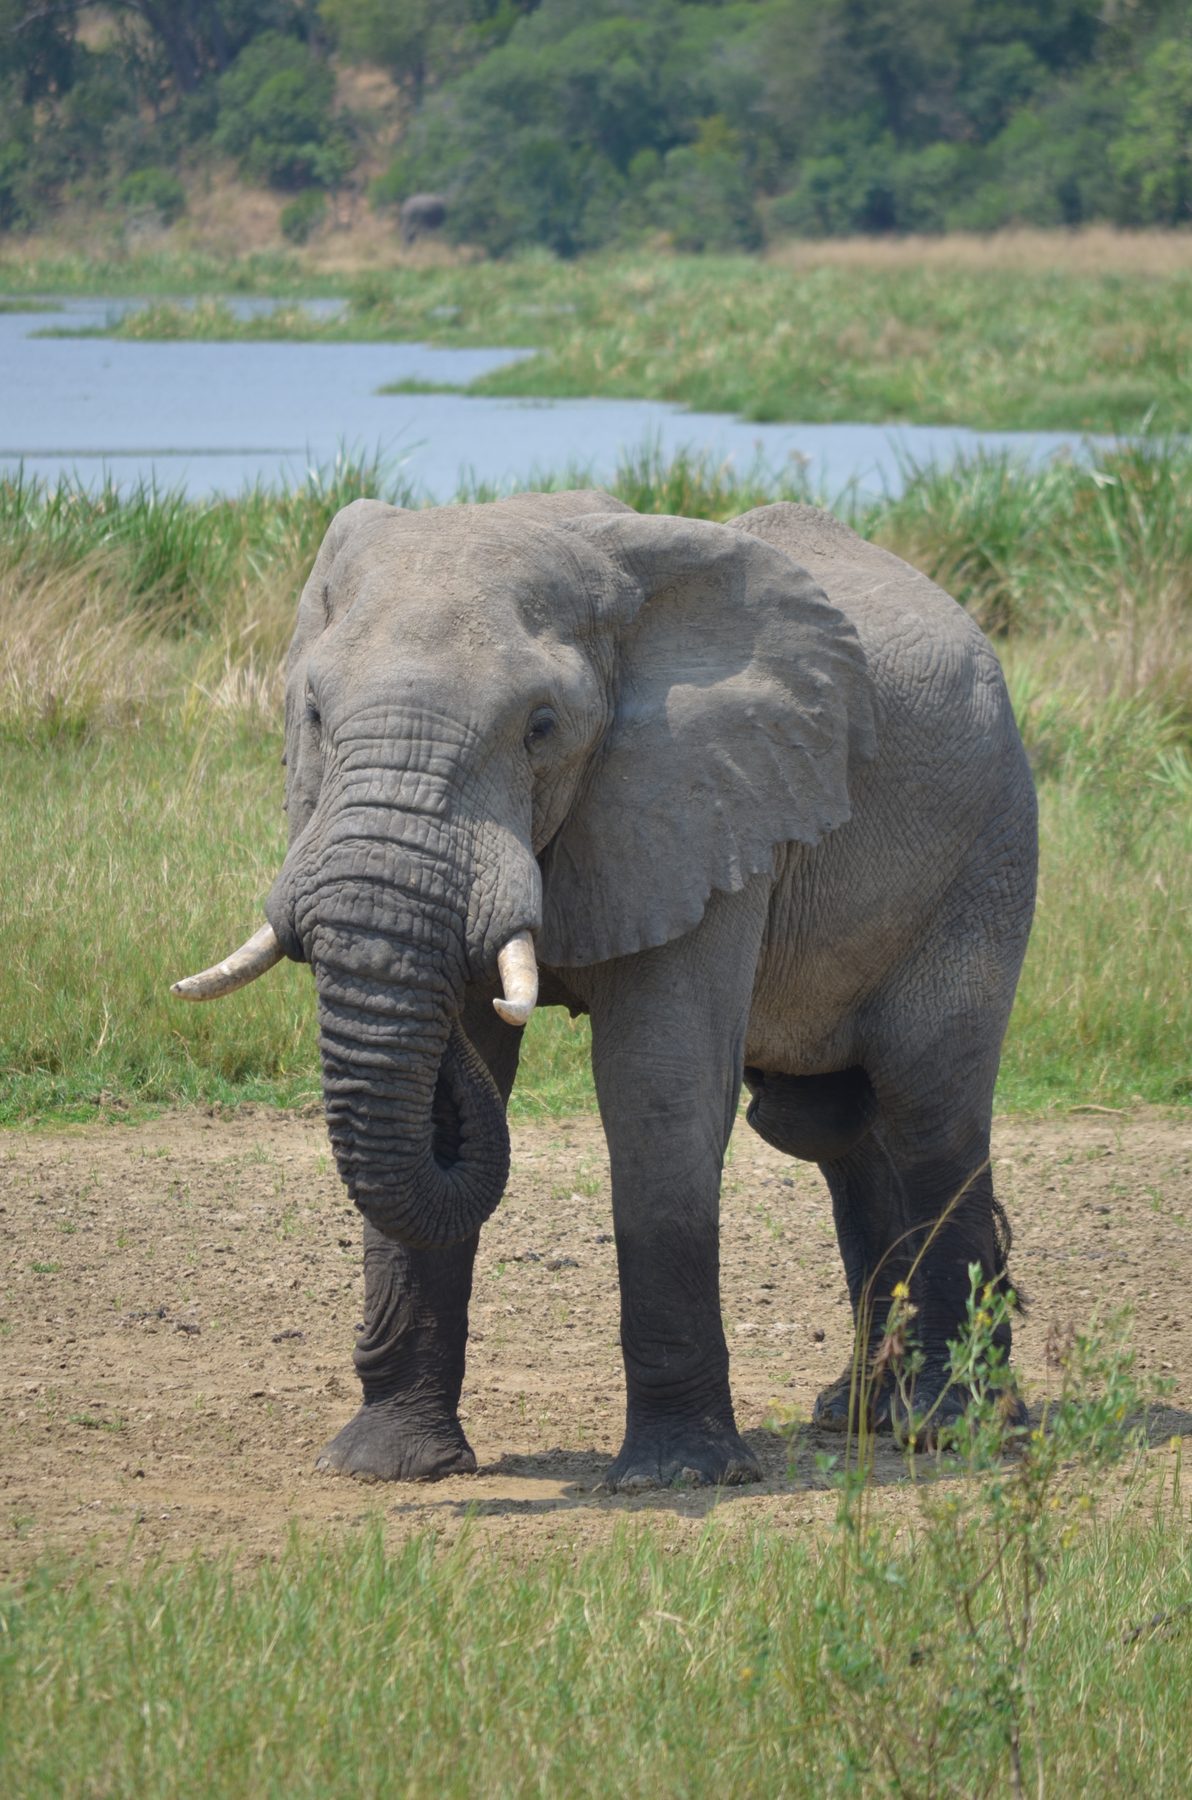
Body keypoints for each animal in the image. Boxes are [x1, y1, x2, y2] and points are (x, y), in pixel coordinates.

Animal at [173, 489, 1037, 1490]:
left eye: (541, 726)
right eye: (312, 712)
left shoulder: (708, 800)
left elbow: (657, 1088)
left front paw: (680, 1477)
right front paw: (383, 1466)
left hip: (987, 849)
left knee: (929, 1107)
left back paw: (952, 1427)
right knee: (834, 1129)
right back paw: (860, 1415)